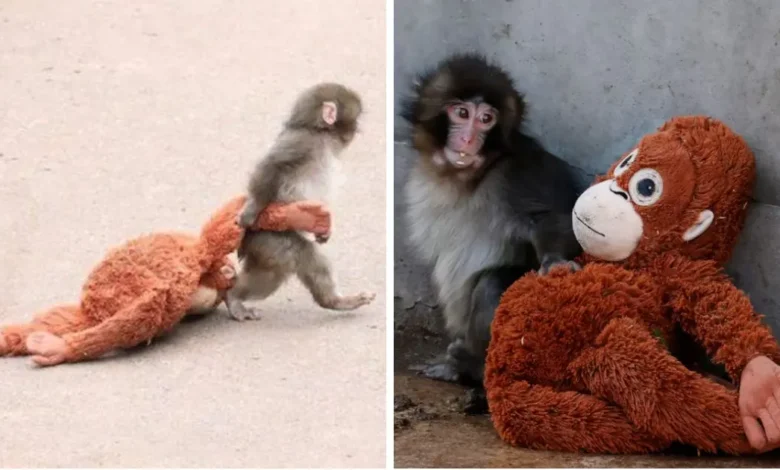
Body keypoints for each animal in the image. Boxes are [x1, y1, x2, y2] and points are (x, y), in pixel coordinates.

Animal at [226, 83, 375, 320]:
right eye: (356, 118)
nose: (356, 129)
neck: (318, 133)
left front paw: (324, 231)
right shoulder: (301, 143)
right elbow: (272, 165)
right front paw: (251, 210)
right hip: (270, 238)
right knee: (291, 260)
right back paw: (233, 298)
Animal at [400, 53, 582, 404]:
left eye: (486, 119)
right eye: (461, 113)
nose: (469, 139)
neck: (468, 177)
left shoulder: (520, 170)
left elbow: (554, 218)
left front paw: (555, 262)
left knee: (492, 283)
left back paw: (471, 367)